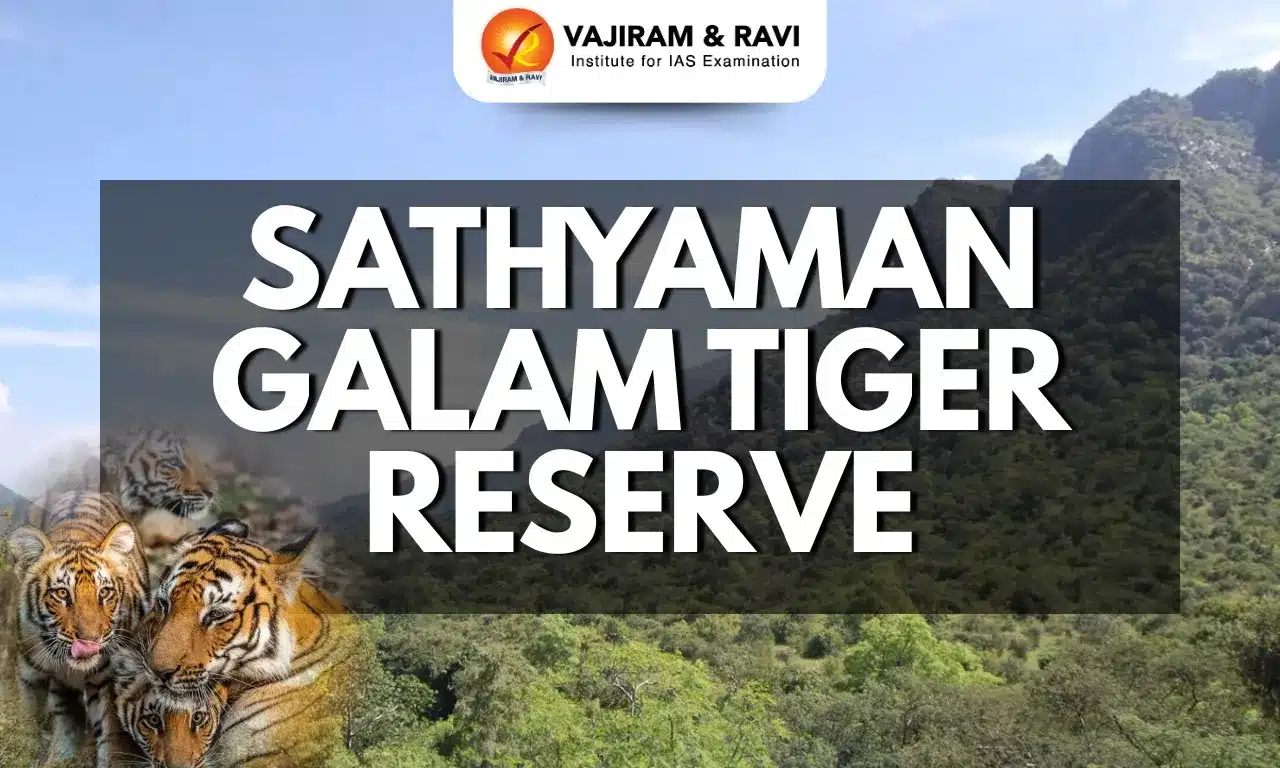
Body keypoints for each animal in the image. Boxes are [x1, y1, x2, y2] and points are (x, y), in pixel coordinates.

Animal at [4, 491, 150, 767]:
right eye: (62, 593)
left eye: (105, 592)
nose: (90, 640)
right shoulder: (29, 678)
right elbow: (28, 724)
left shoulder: (107, 680)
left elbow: (111, 739)